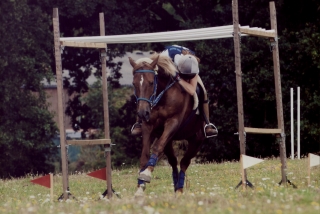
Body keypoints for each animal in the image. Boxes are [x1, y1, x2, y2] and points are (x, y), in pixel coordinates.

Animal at [129, 53, 206, 196]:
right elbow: (145, 155)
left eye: (151, 82)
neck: (163, 94)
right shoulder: (148, 125)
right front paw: (140, 187)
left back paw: (179, 189)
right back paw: (175, 187)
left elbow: (157, 147)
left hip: (197, 140)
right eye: (134, 84)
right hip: (169, 141)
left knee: (184, 162)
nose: (142, 113)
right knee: (174, 161)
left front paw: (146, 174)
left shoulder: (173, 123)